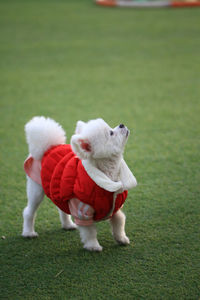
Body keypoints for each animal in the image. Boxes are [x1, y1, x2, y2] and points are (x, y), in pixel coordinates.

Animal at [22, 116, 138, 252]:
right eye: (111, 133)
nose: (121, 124)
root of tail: (49, 147)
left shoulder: (115, 208)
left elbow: (119, 223)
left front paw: (121, 239)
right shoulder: (82, 211)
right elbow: (90, 232)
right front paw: (93, 246)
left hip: (59, 189)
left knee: (61, 208)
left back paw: (67, 225)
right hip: (36, 190)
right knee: (29, 211)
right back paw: (28, 232)